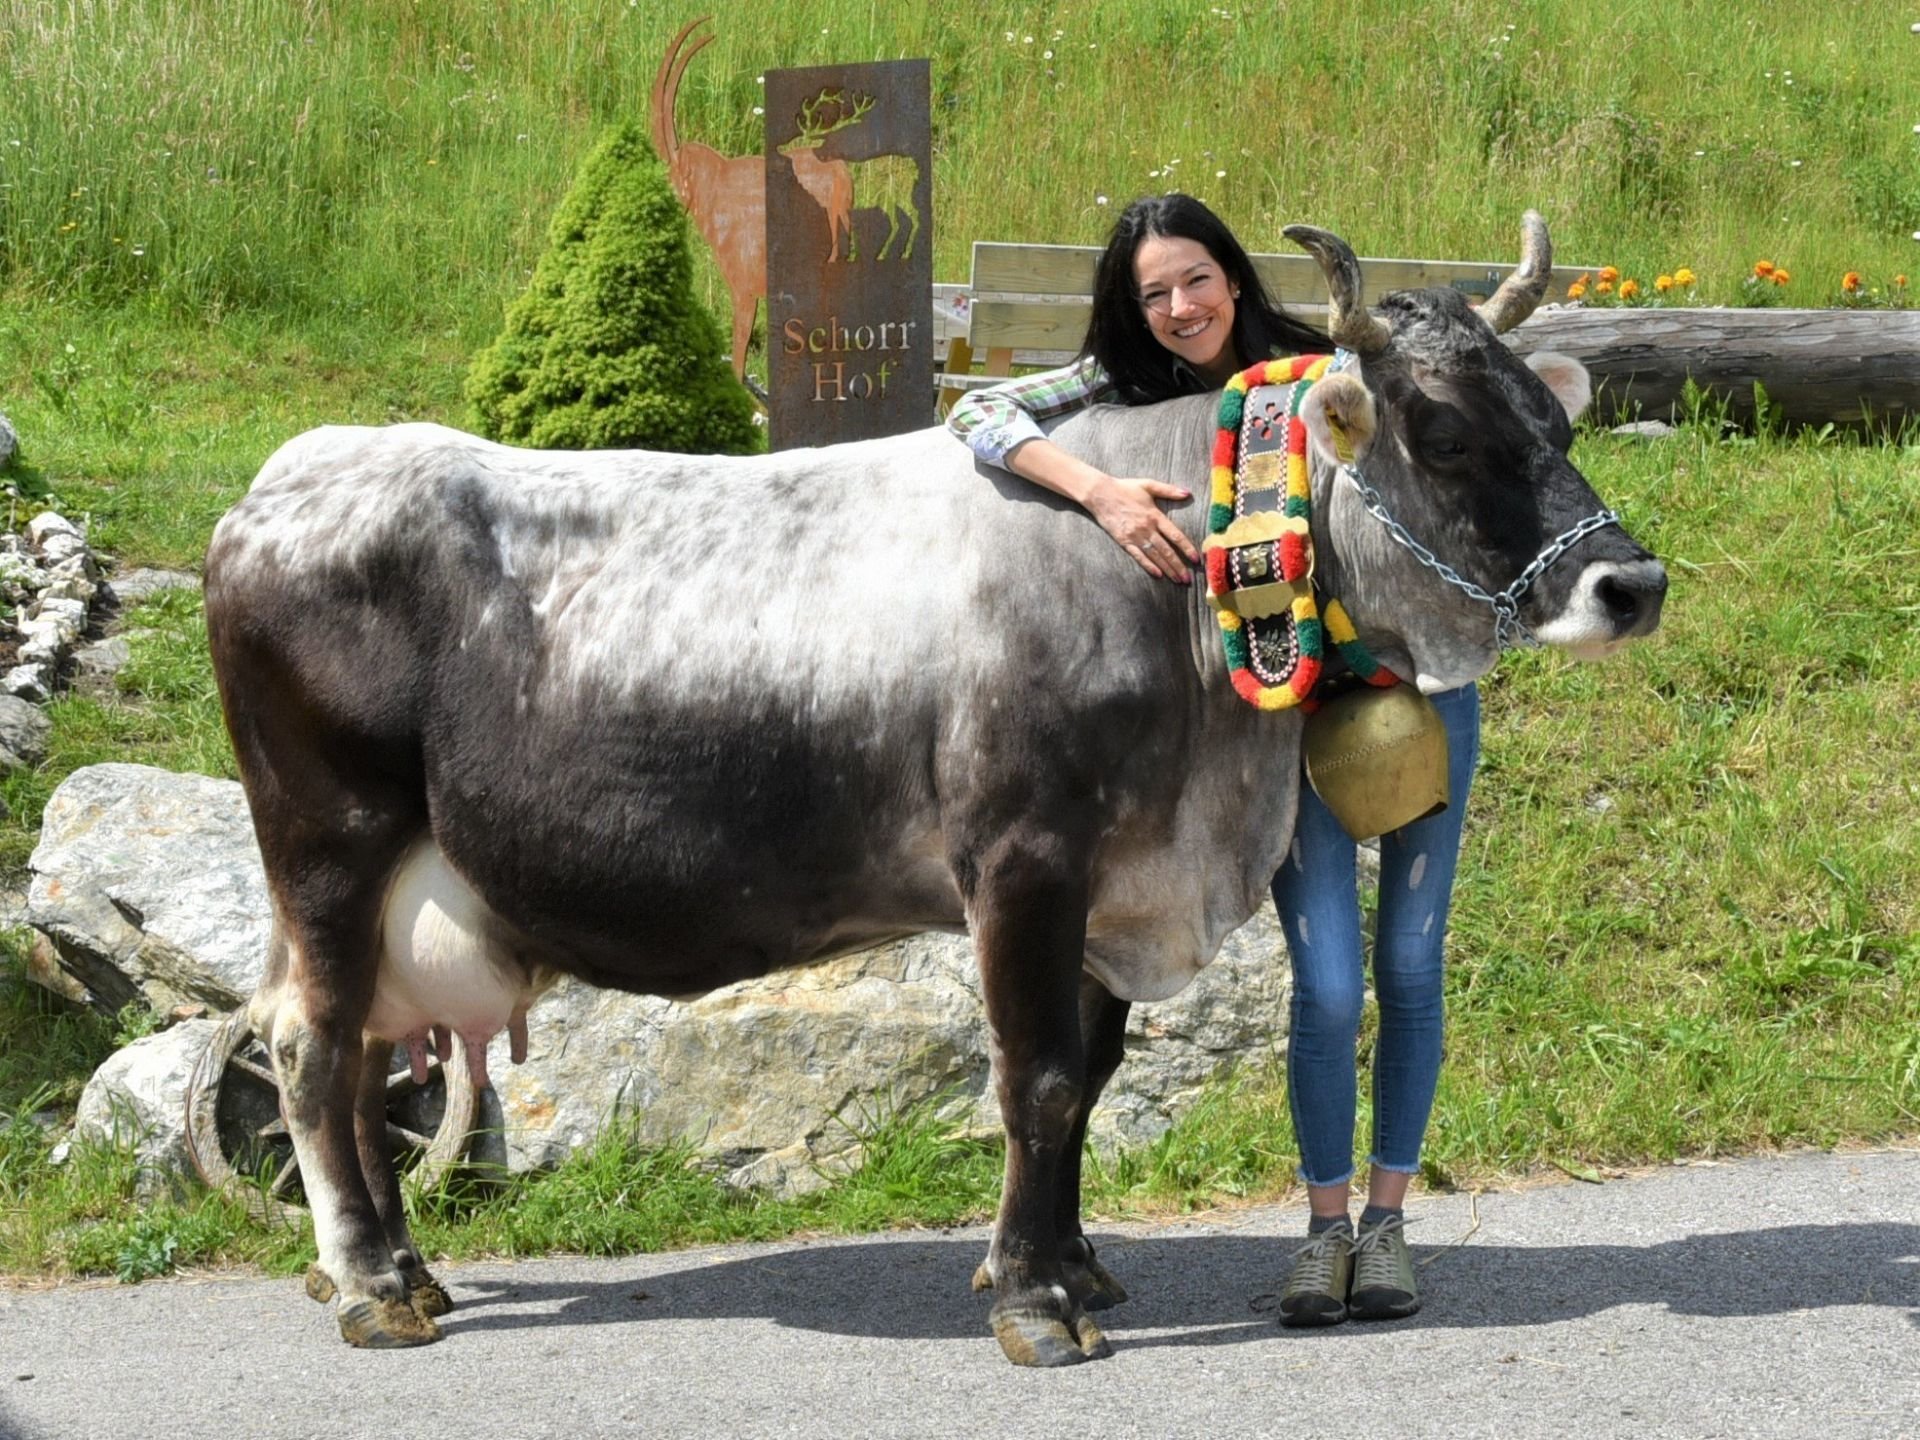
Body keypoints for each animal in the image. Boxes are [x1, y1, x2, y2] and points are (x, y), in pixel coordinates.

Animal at [202, 216, 1658, 1374]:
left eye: (1555, 420)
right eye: (1444, 432)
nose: (1631, 584)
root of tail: (281, 484)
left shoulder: (1113, 882)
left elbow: (1090, 1075)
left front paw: (1070, 1266)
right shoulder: (1024, 859)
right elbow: (1040, 1080)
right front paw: (1035, 1305)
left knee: (349, 1054)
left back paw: (398, 1270)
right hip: (330, 846)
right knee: (311, 1049)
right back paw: (376, 1290)